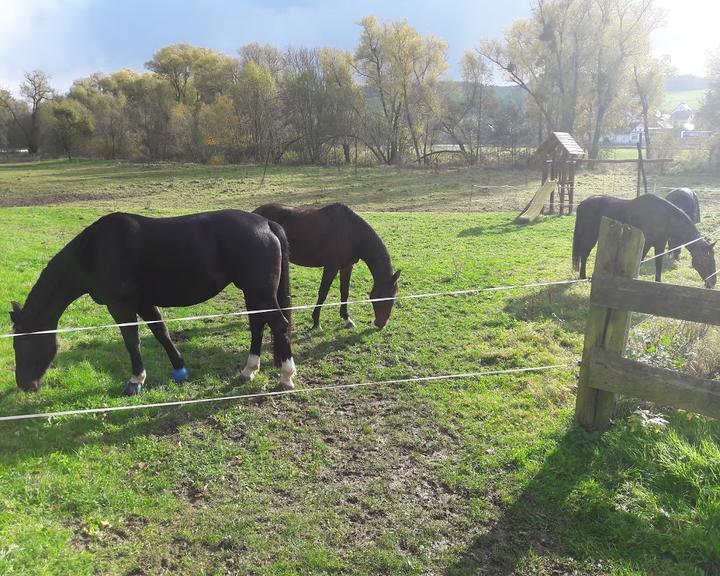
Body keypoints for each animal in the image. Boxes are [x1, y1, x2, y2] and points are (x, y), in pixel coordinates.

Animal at [8, 210, 296, 396]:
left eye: (22, 344)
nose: (25, 385)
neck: (96, 252)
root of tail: (267, 223)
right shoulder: (143, 303)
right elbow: (161, 332)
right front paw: (179, 369)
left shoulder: (121, 306)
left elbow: (132, 341)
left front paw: (136, 381)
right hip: (253, 293)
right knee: (258, 324)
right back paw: (249, 370)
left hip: (259, 292)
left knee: (279, 325)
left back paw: (286, 375)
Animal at [253, 201, 400, 328]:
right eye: (385, 298)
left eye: (394, 298)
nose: (380, 324)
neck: (351, 233)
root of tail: (255, 213)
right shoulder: (331, 267)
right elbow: (323, 292)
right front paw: (316, 322)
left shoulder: (347, 267)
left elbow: (344, 291)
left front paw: (346, 318)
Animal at [572, 195, 716, 286]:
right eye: (707, 261)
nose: (712, 282)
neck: (664, 218)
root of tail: (582, 204)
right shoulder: (645, 244)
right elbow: (639, 262)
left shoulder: (660, 244)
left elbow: (658, 263)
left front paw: (658, 282)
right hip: (589, 236)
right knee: (584, 254)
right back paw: (583, 276)